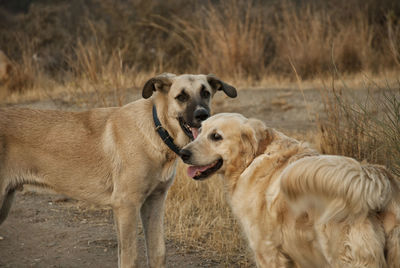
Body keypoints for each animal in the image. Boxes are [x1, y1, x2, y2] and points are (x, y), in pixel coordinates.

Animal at [0, 74, 238, 268]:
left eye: (206, 93)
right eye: (181, 96)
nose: (203, 115)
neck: (157, 130)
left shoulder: (154, 202)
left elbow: (158, 253)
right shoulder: (126, 205)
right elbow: (130, 259)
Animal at [181, 113, 400, 268]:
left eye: (216, 137)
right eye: (199, 131)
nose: (183, 153)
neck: (253, 158)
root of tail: (377, 180)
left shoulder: (267, 252)